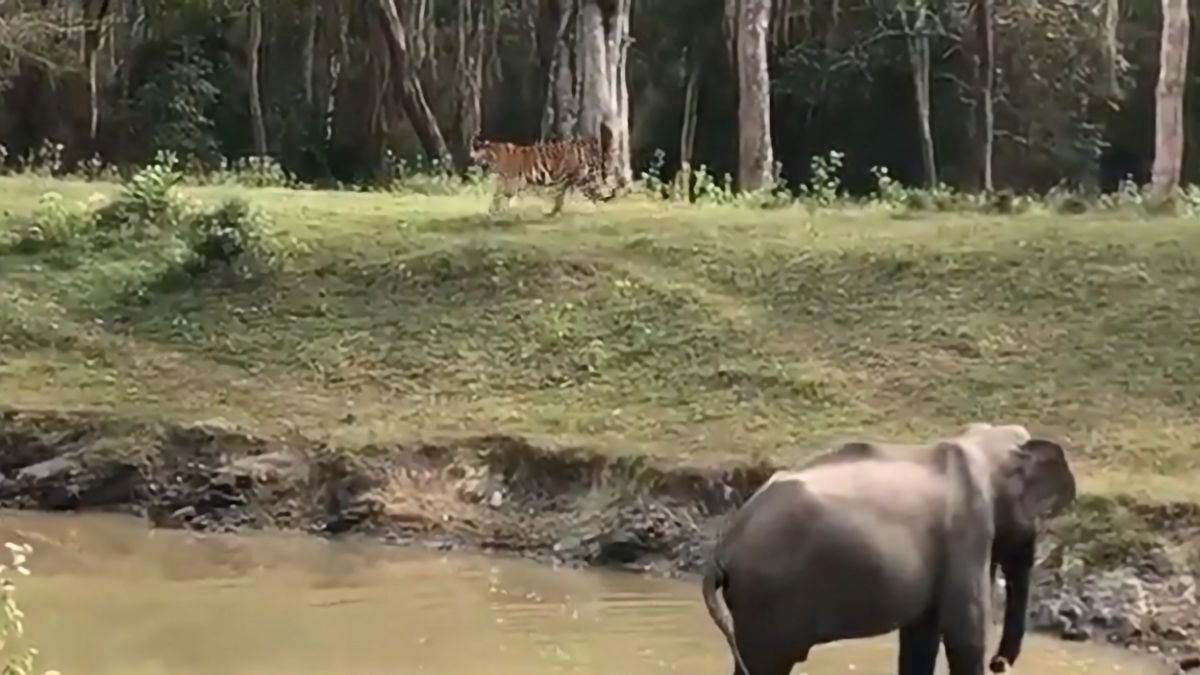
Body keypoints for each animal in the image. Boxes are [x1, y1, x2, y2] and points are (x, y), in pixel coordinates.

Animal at [468, 121, 619, 214]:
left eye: (475, 153)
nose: (472, 160)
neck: (492, 155)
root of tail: (584, 146)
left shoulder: (512, 179)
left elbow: (500, 194)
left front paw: (494, 210)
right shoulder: (511, 180)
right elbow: (499, 193)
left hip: (577, 177)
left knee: (588, 192)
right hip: (580, 177)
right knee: (589, 192)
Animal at [700, 422, 1075, 667]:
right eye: (1038, 515)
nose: (999, 663)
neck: (979, 442)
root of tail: (724, 546)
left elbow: (921, 639)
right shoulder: (967, 527)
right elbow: (964, 632)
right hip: (767, 598)